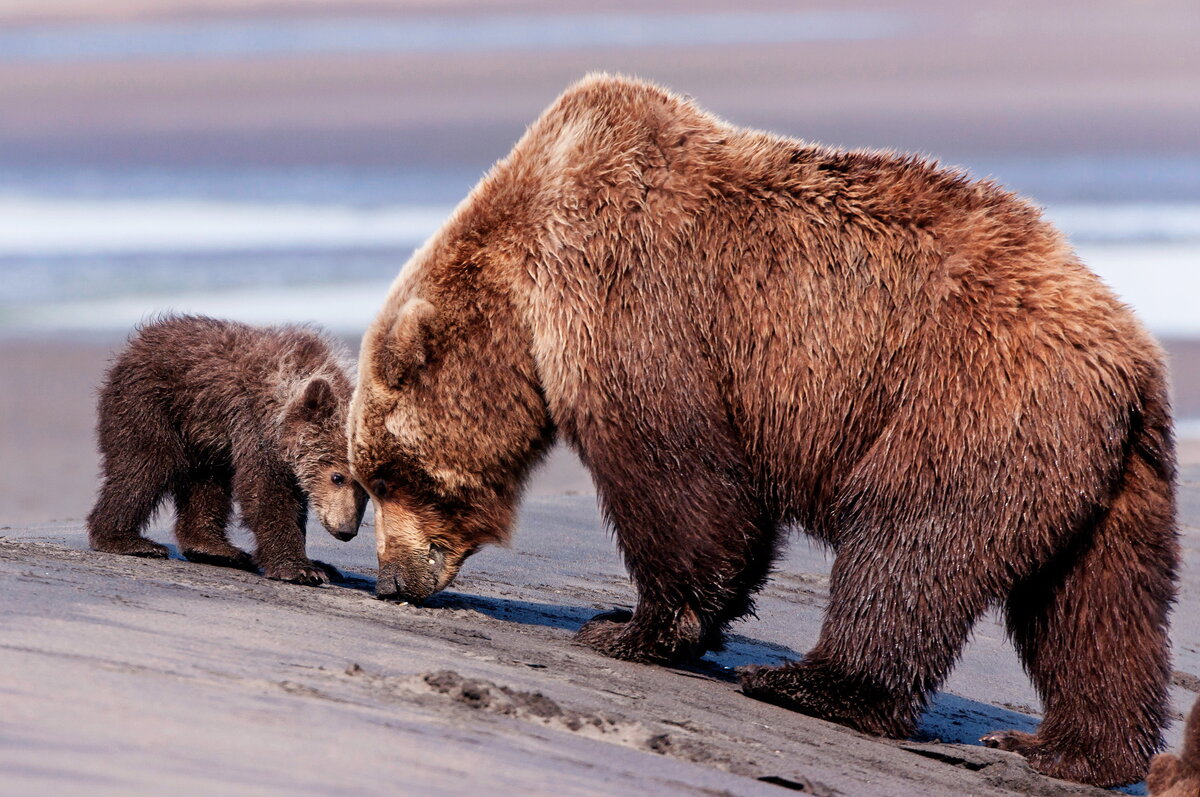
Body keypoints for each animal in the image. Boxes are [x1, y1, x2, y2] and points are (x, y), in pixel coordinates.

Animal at [348, 76, 1171, 792]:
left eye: (387, 475)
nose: (392, 579)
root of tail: (1130, 354)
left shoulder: (631, 295)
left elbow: (682, 480)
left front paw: (628, 627)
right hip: (1109, 475)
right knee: (1097, 610)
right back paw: (1061, 748)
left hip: (965, 398)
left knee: (910, 539)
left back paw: (808, 682)